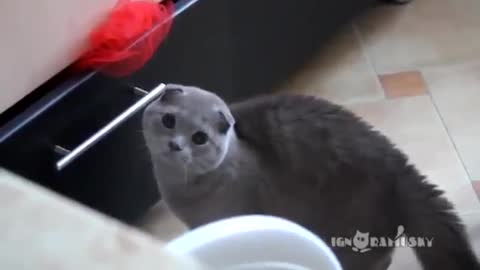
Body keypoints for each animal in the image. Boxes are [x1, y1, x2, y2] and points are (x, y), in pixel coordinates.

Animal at [142, 83, 480, 268]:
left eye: (199, 138)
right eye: (169, 121)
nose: (175, 145)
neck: (178, 186)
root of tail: (400, 164)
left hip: (348, 234)